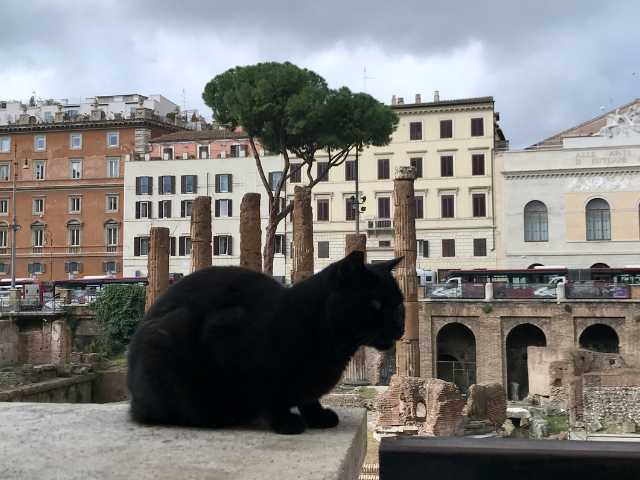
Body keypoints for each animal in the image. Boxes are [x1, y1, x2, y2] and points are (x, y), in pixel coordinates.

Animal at [127, 251, 402, 436]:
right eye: (375, 304)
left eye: (398, 303)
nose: (399, 326)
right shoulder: (226, 335)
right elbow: (270, 393)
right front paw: (284, 421)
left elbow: (307, 396)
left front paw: (316, 414)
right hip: (164, 340)